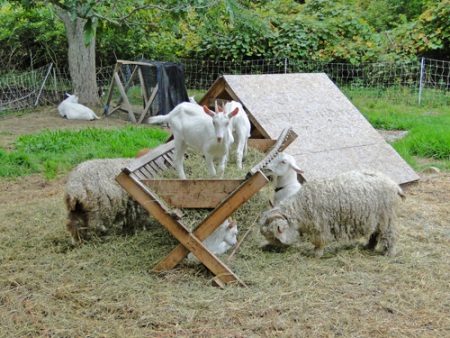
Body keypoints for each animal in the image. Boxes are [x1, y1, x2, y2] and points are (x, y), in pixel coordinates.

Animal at [258, 170, 406, 258]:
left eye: (275, 237)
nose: (276, 249)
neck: (302, 206)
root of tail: (395, 186)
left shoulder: (321, 226)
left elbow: (320, 241)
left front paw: (316, 254)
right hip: (377, 218)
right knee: (375, 233)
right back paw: (368, 246)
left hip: (387, 217)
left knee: (390, 234)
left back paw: (389, 253)